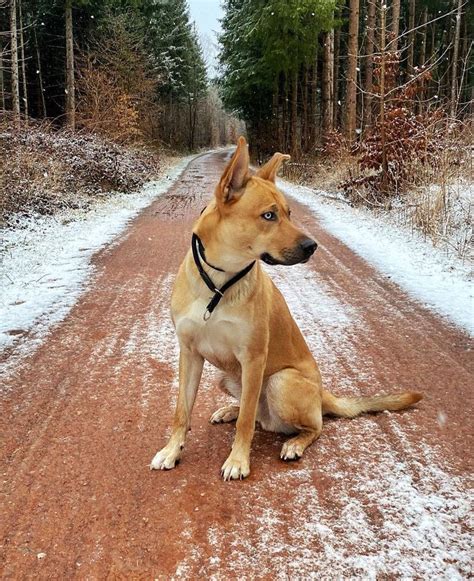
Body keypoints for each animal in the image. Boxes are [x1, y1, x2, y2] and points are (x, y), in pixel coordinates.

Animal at [149, 137, 422, 480]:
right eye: (269, 215)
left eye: (289, 213)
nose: (312, 247)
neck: (219, 282)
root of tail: (322, 393)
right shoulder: (189, 353)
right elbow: (181, 411)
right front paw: (172, 450)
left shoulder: (253, 358)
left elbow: (245, 423)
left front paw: (238, 460)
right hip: (226, 376)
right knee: (255, 414)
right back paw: (229, 409)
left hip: (281, 381)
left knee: (309, 426)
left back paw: (293, 443)